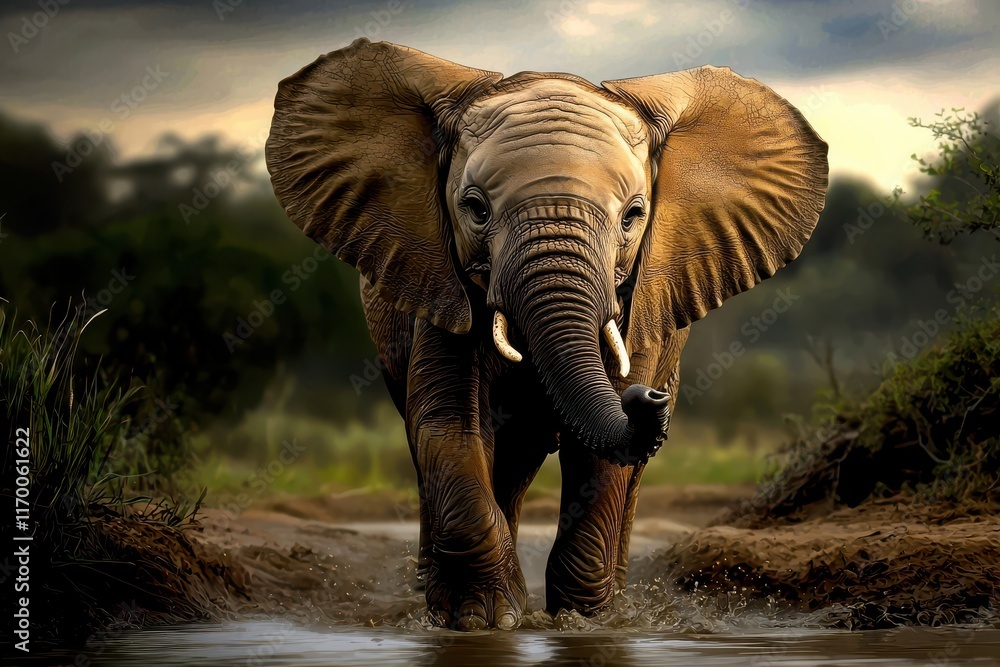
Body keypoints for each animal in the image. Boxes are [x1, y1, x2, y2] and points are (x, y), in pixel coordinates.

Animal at [265, 38, 828, 630]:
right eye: (474, 208)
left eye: (634, 215)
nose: (650, 396)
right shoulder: (440, 282)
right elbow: (449, 424)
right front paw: (483, 621)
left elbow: (599, 456)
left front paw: (586, 621)